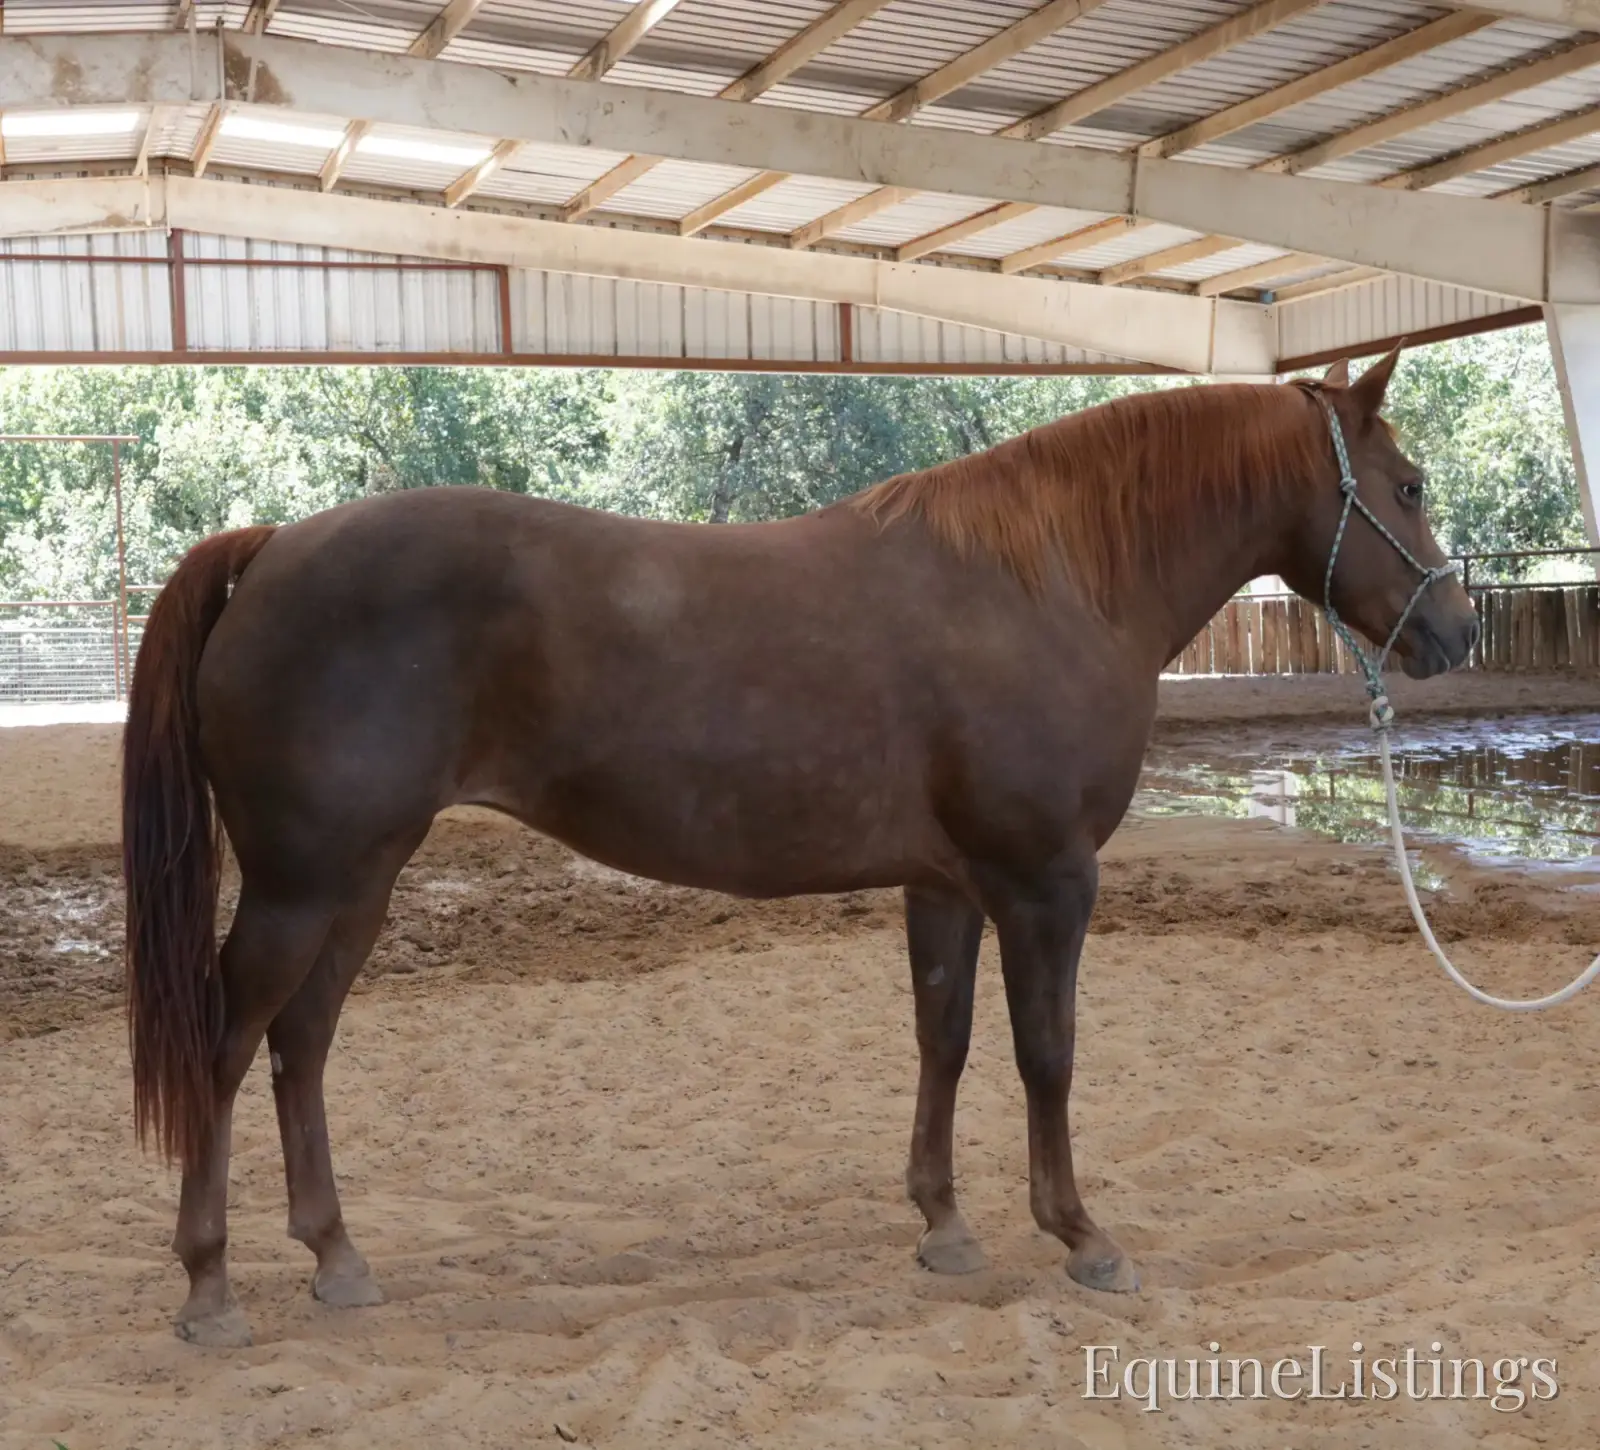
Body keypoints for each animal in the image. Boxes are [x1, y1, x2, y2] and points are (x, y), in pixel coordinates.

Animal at [122, 346, 1478, 1346]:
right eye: (1407, 485)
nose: (1454, 633)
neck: (1044, 584)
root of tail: (273, 545)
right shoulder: (1046, 881)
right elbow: (1046, 1054)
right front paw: (1082, 1236)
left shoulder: (947, 884)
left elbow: (944, 1038)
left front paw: (944, 1225)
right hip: (302, 886)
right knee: (230, 1046)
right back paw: (209, 1286)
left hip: (358, 882)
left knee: (301, 1046)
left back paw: (337, 1258)